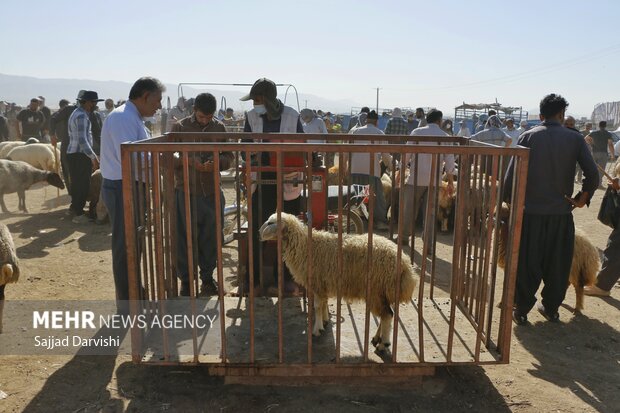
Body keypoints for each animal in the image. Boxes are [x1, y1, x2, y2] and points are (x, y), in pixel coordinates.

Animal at [256, 212, 416, 350]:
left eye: (271, 223)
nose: (258, 234)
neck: (304, 245)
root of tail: (406, 265)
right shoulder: (323, 283)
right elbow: (324, 303)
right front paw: (325, 321)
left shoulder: (317, 283)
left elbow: (317, 306)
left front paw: (316, 329)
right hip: (382, 291)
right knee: (386, 314)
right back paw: (377, 338)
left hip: (376, 289)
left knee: (387, 315)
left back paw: (384, 343)